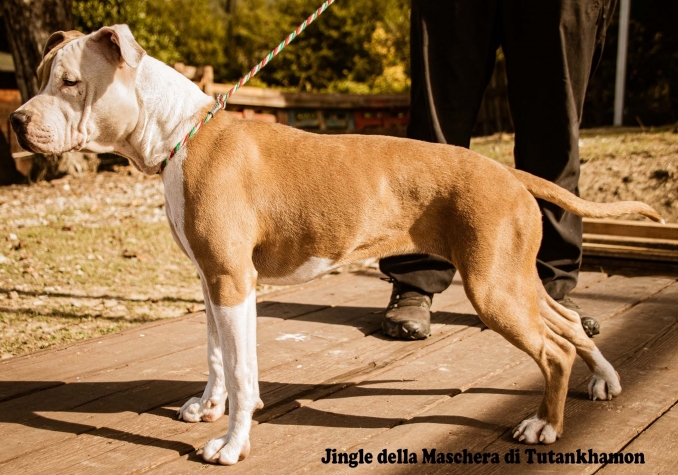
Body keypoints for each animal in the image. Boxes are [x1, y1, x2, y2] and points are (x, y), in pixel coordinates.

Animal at [10, 25, 668, 464]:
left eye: (70, 82)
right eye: (38, 78)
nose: (15, 121)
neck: (180, 134)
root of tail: (507, 172)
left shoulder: (232, 281)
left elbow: (244, 370)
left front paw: (231, 443)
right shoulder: (211, 280)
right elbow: (219, 357)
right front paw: (209, 407)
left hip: (493, 288)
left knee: (552, 349)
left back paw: (546, 426)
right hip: (513, 279)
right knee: (569, 322)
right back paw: (603, 380)